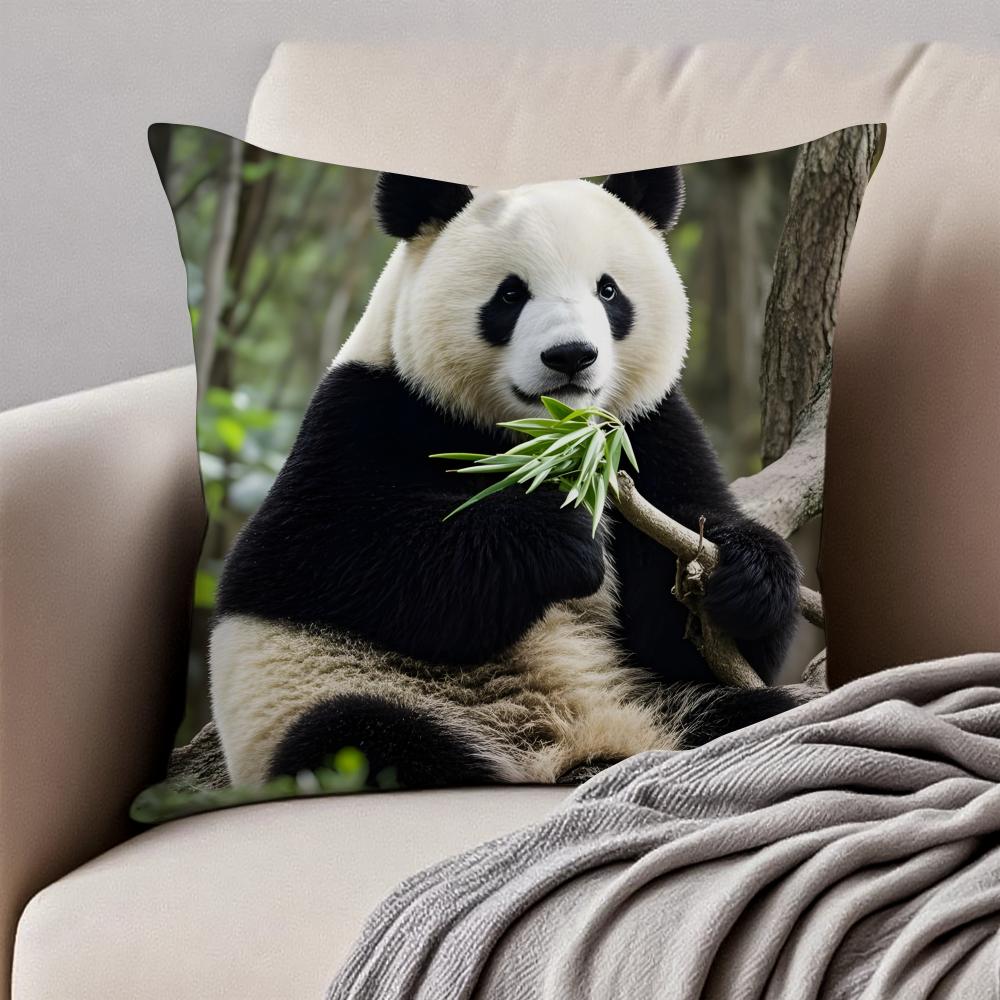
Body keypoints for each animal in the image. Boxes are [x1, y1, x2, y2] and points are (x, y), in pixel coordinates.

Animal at [209, 167, 806, 790]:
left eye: (608, 291)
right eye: (511, 295)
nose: (571, 356)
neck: (543, 436)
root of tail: (571, 752)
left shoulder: (650, 430)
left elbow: (684, 628)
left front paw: (741, 573)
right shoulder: (362, 413)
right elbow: (321, 552)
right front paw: (559, 538)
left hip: (657, 706)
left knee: (759, 719)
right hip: (366, 700)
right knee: (359, 739)